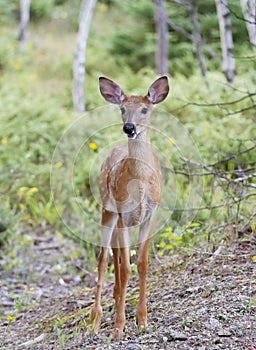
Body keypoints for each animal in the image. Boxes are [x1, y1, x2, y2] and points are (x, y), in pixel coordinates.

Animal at [89, 76, 169, 340]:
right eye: (123, 109)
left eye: (145, 109)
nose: (129, 128)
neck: (140, 182)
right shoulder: (124, 212)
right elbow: (125, 268)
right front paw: (118, 327)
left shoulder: (151, 214)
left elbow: (142, 263)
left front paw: (142, 320)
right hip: (108, 209)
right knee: (103, 257)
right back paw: (95, 318)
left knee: (113, 254)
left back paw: (115, 300)